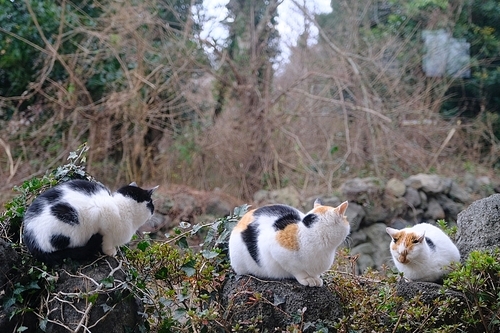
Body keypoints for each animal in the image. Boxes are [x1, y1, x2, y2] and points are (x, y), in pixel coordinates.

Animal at [21, 179, 157, 264]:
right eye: (151, 203)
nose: (154, 210)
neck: (120, 207)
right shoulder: (104, 228)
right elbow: (107, 243)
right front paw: (111, 252)